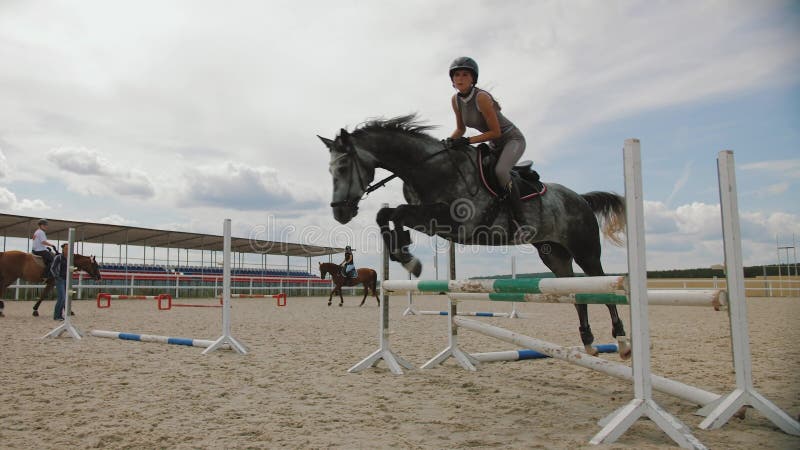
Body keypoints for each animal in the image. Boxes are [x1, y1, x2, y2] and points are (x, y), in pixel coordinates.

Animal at [318, 115, 632, 358]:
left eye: (343, 167)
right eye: (330, 170)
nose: (340, 212)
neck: (429, 168)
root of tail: (580, 198)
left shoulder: (455, 220)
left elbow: (397, 213)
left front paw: (408, 258)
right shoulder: (433, 223)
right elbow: (387, 214)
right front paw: (405, 254)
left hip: (585, 250)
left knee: (601, 286)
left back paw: (622, 342)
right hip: (553, 254)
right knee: (575, 292)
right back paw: (588, 342)